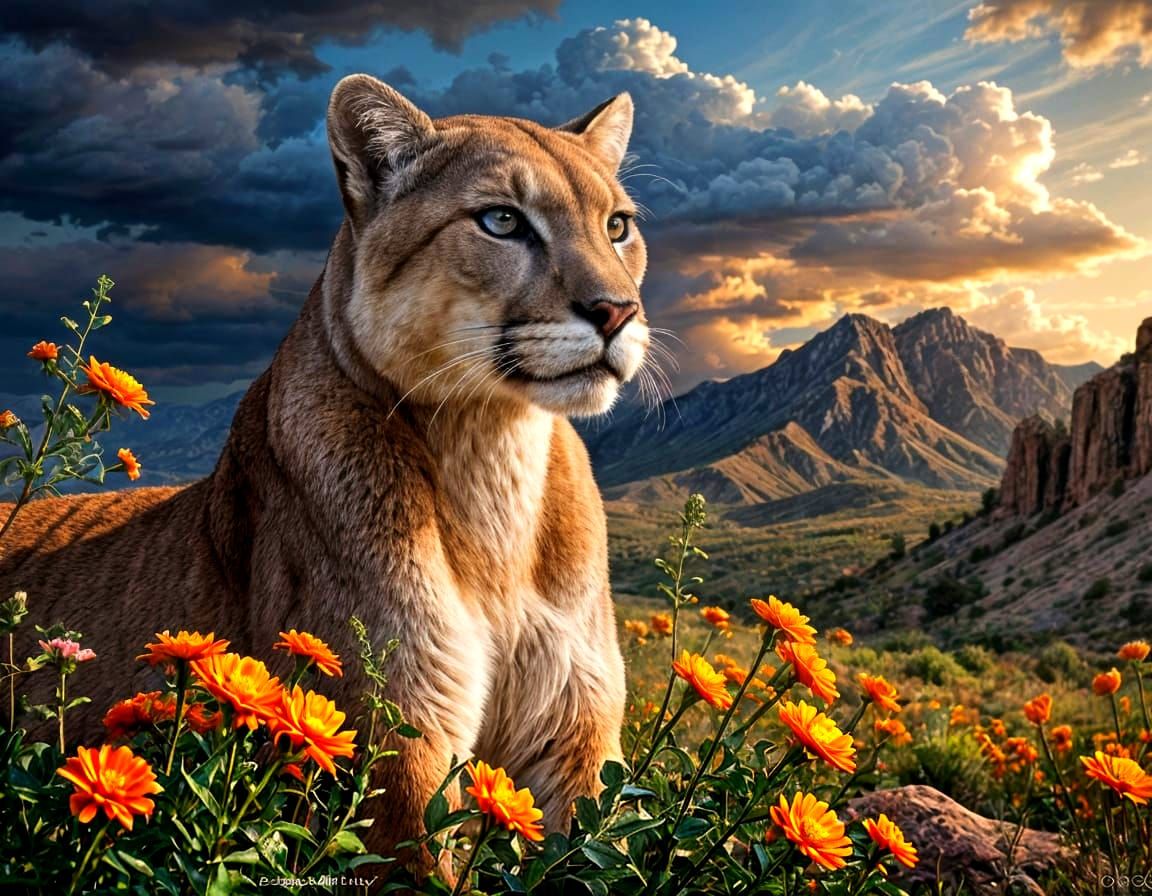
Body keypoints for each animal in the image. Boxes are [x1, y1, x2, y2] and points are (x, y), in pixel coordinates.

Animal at [0, 74, 650, 865]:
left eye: (617, 226)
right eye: (501, 220)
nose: (618, 311)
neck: (494, 449)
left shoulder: (576, 734)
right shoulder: (393, 737)